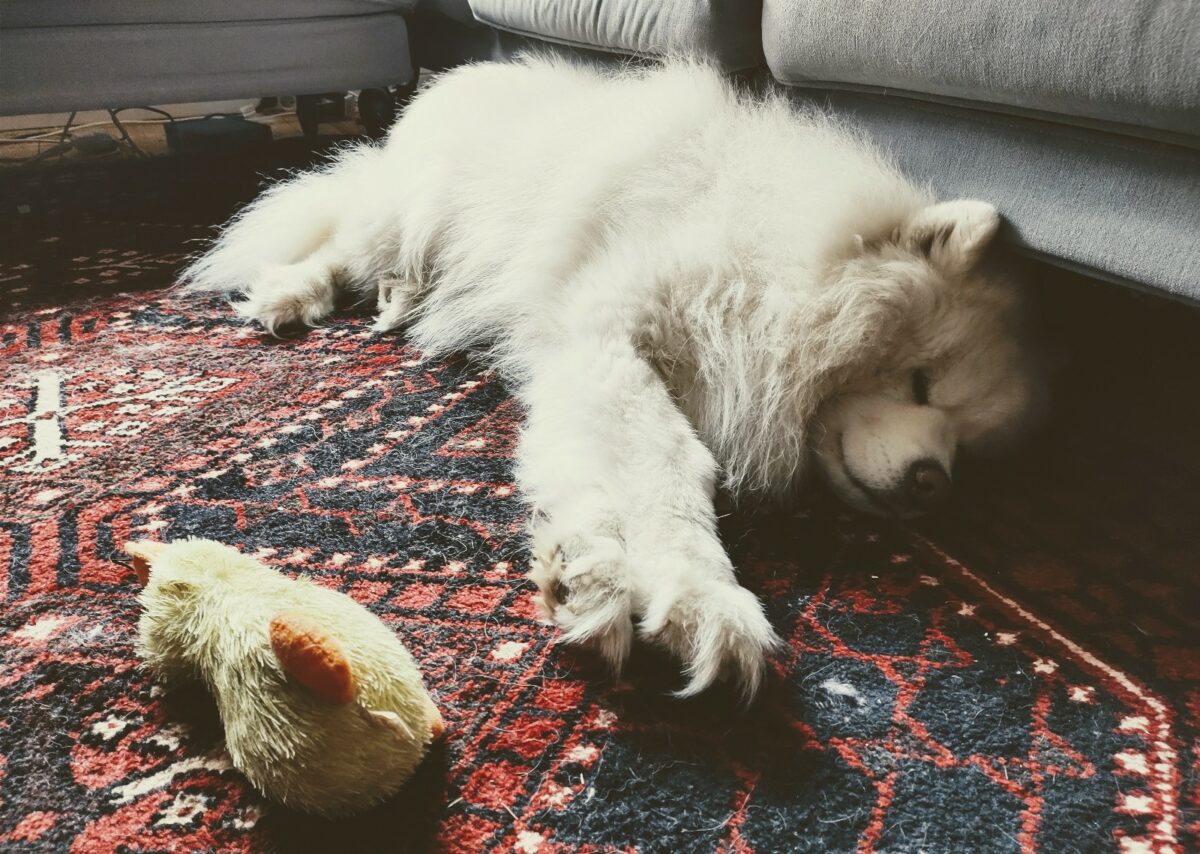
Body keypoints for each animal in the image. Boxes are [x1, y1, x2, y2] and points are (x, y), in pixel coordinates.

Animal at [184, 58, 1041, 700]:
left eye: (965, 445)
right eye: (920, 382)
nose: (933, 483)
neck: (771, 255)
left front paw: (589, 572)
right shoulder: (611, 336)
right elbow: (669, 465)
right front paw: (699, 596)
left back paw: (400, 301)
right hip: (412, 211)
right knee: (342, 244)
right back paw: (293, 295)